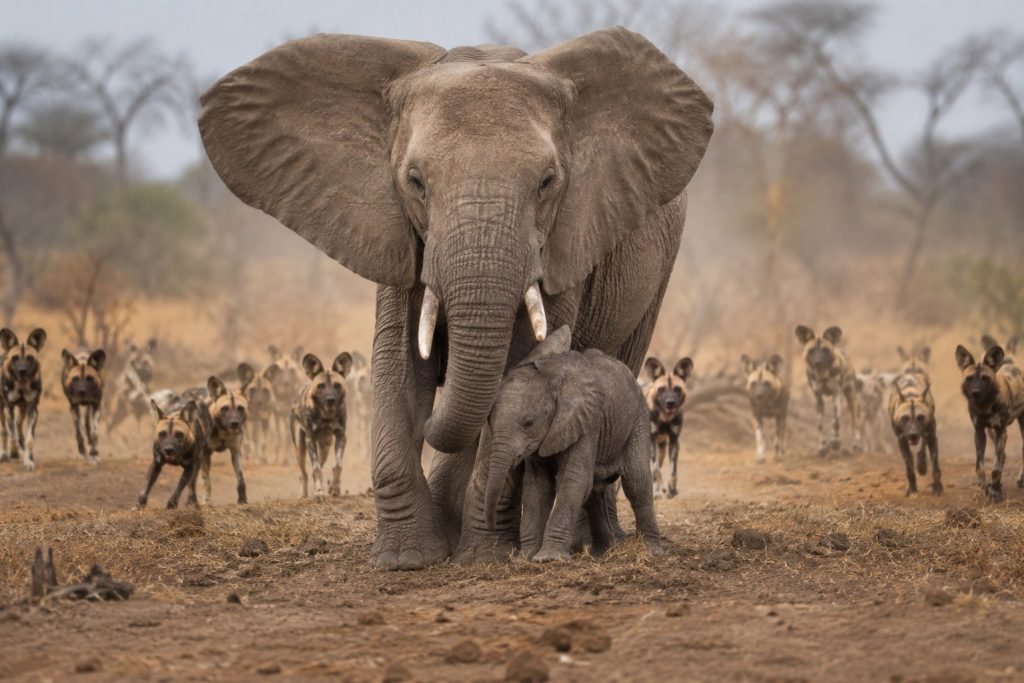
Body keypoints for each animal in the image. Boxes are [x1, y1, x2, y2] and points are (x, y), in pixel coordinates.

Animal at [483, 327, 662, 561]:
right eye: (489, 421)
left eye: (528, 423)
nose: (492, 525)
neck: (552, 382)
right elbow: (537, 487)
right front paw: (525, 559)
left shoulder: (586, 423)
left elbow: (572, 480)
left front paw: (549, 559)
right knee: (594, 490)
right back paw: (601, 552)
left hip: (637, 419)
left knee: (636, 483)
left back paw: (651, 550)